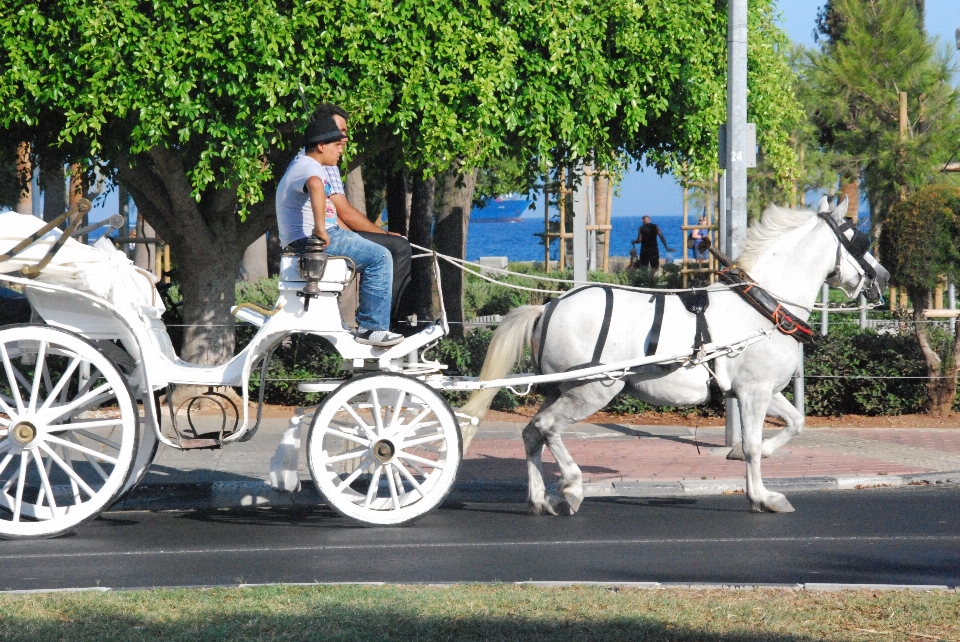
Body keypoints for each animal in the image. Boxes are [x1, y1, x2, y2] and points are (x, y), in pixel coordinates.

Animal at [462, 198, 888, 512]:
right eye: (861, 240)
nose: (883, 276)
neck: (762, 305)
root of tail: (547, 308)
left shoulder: (763, 389)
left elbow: (795, 423)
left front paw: (744, 455)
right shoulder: (752, 392)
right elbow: (754, 445)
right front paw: (761, 496)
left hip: (560, 389)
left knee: (532, 433)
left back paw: (539, 499)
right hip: (592, 390)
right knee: (548, 428)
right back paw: (572, 486)